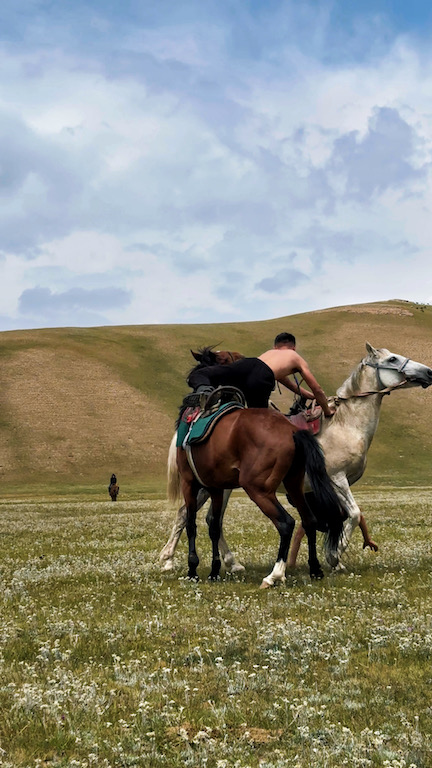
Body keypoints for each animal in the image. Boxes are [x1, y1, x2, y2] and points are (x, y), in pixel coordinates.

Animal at [169, 400, 346, 587]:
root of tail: (291, 430)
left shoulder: (189, 484)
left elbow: (191, 525)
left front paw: (192, 570)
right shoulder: (216, 488)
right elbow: (214, 527)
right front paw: (214, 571)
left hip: (258, 490)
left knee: (286, 523)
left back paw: (274, 575)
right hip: (294, 486)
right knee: (309, 520)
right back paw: (315, 569)